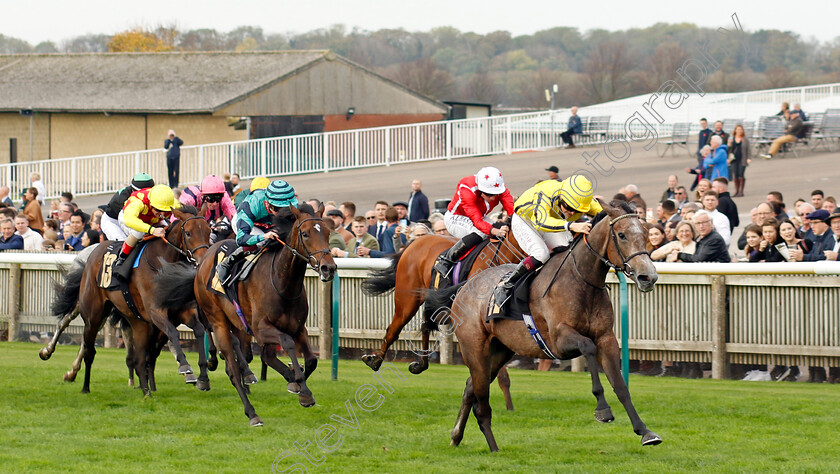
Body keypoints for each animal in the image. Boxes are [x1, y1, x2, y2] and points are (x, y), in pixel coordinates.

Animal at [49, 208, 213, 396]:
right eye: (188, 233)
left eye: (209, 231)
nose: (203, 260)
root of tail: (94, 252)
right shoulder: (155, 311)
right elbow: (172, 333)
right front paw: (186, 367)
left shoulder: (181, 312)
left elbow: (199, 330)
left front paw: (202, 377)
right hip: (93, 315)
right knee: (87, 346)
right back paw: (80, 382)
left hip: (134, 320)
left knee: (139, 356)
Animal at [156, 204, 336, 426]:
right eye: (305, 234)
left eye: (327, 232)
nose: (329, 268)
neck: (282, 283)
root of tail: (204, 260)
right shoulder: (261, 329)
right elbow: (286, 343)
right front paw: (302, 389)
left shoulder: (298, 328)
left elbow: (311, 360)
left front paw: (296, 382)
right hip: (218, 320)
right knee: (231, 368)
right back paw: (251, 412)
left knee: (258, 355)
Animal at [434, 201, 664, 452]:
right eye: (621, 235)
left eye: (646, 235)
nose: (648, 277)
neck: (581, 281)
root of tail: (465, 286)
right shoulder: (559, 340)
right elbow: (588, 347)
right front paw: (603, 409)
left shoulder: (606, 338)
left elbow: (621, 386)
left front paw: (645, 432)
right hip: (475, 350)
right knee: (481, 400)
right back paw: (492, 447)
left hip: (501, 351)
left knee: (470, 387)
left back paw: (456, 436)